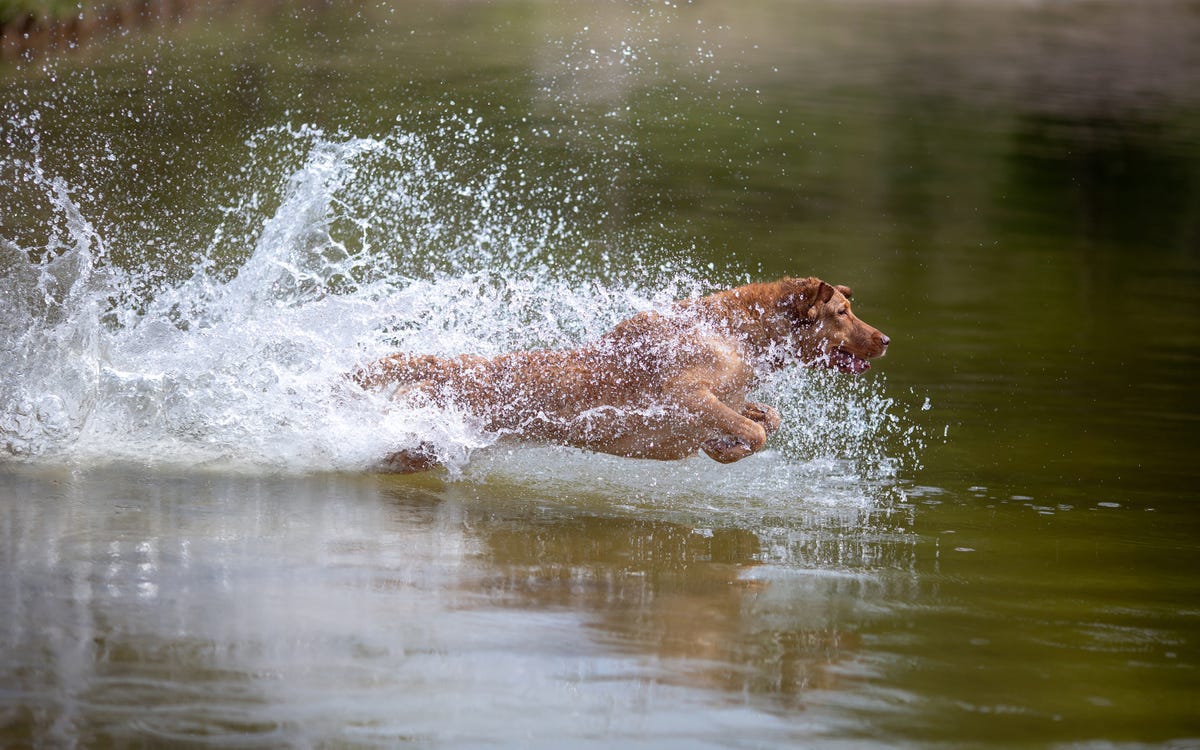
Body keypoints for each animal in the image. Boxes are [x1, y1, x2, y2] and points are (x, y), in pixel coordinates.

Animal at [350, 278, 888, 470]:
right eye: (842, 312)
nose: (886, 339)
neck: (737, 335)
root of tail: (454, 363)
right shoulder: (684, 394)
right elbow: (753, 431)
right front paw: (725, 446)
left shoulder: (731, 399)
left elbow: (766, 419)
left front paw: (721, 446)